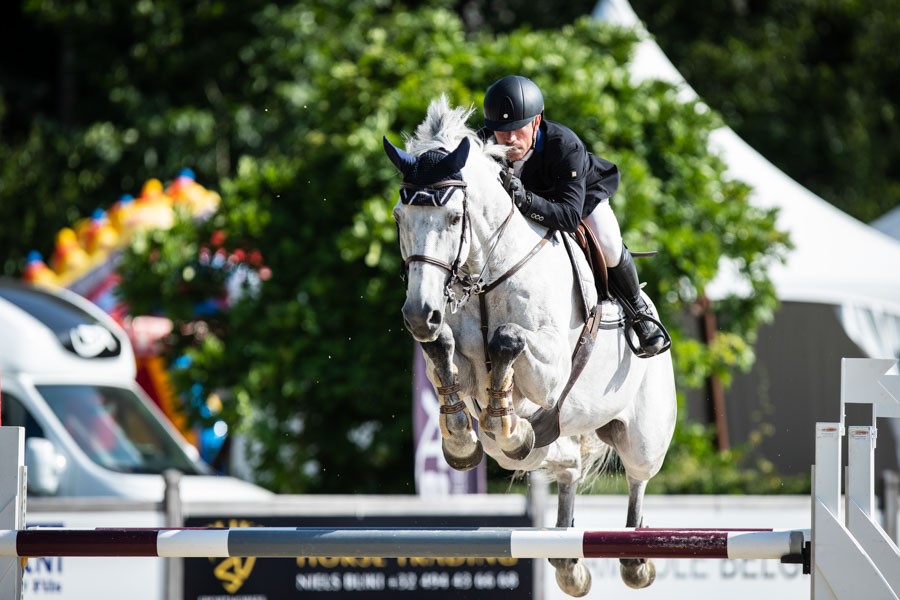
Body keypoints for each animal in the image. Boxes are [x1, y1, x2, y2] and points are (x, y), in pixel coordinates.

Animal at [384, 97, 676, 596]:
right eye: (401, 219)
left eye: (455, 218)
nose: (419, 313)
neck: (488, 273)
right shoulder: (462, 362)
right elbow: (446, 355)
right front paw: (459, 436)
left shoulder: (551, 369)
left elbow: (508, 338)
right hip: (544, 437)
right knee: (555, 459)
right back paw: (567, 557)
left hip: (643, 433)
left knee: (637, 477)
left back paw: (636, 557)